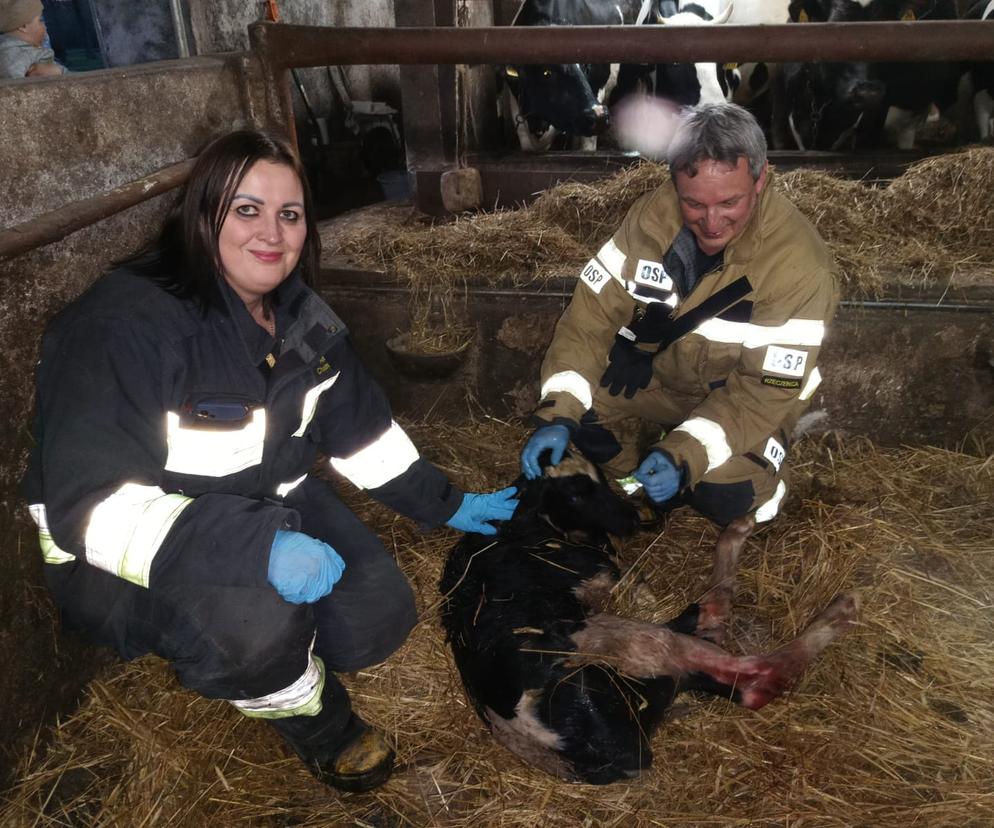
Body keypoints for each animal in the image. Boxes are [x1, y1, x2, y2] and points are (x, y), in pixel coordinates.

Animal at [438, 452, 856, 784]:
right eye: (575, 494)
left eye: (601, 480)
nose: (631, 520)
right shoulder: (604, 572)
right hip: (629, 642)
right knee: (752, 675)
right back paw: (838, 609)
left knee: (711, 622)